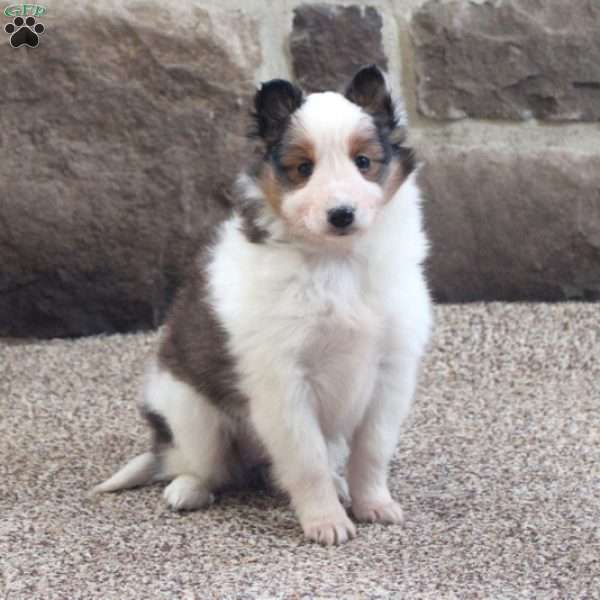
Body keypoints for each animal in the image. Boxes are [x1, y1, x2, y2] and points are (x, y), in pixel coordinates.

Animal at [95, 64, 432, 544]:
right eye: (303, 169)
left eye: (363, 162)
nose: (341, 214)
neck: (336, 262)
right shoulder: (283, 381)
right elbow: (307, 461)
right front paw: (326, 523)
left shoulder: (390, 372)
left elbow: (371, 450)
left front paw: (373, 504)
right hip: (193, 416)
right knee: (196, 465)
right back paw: (187, 489)